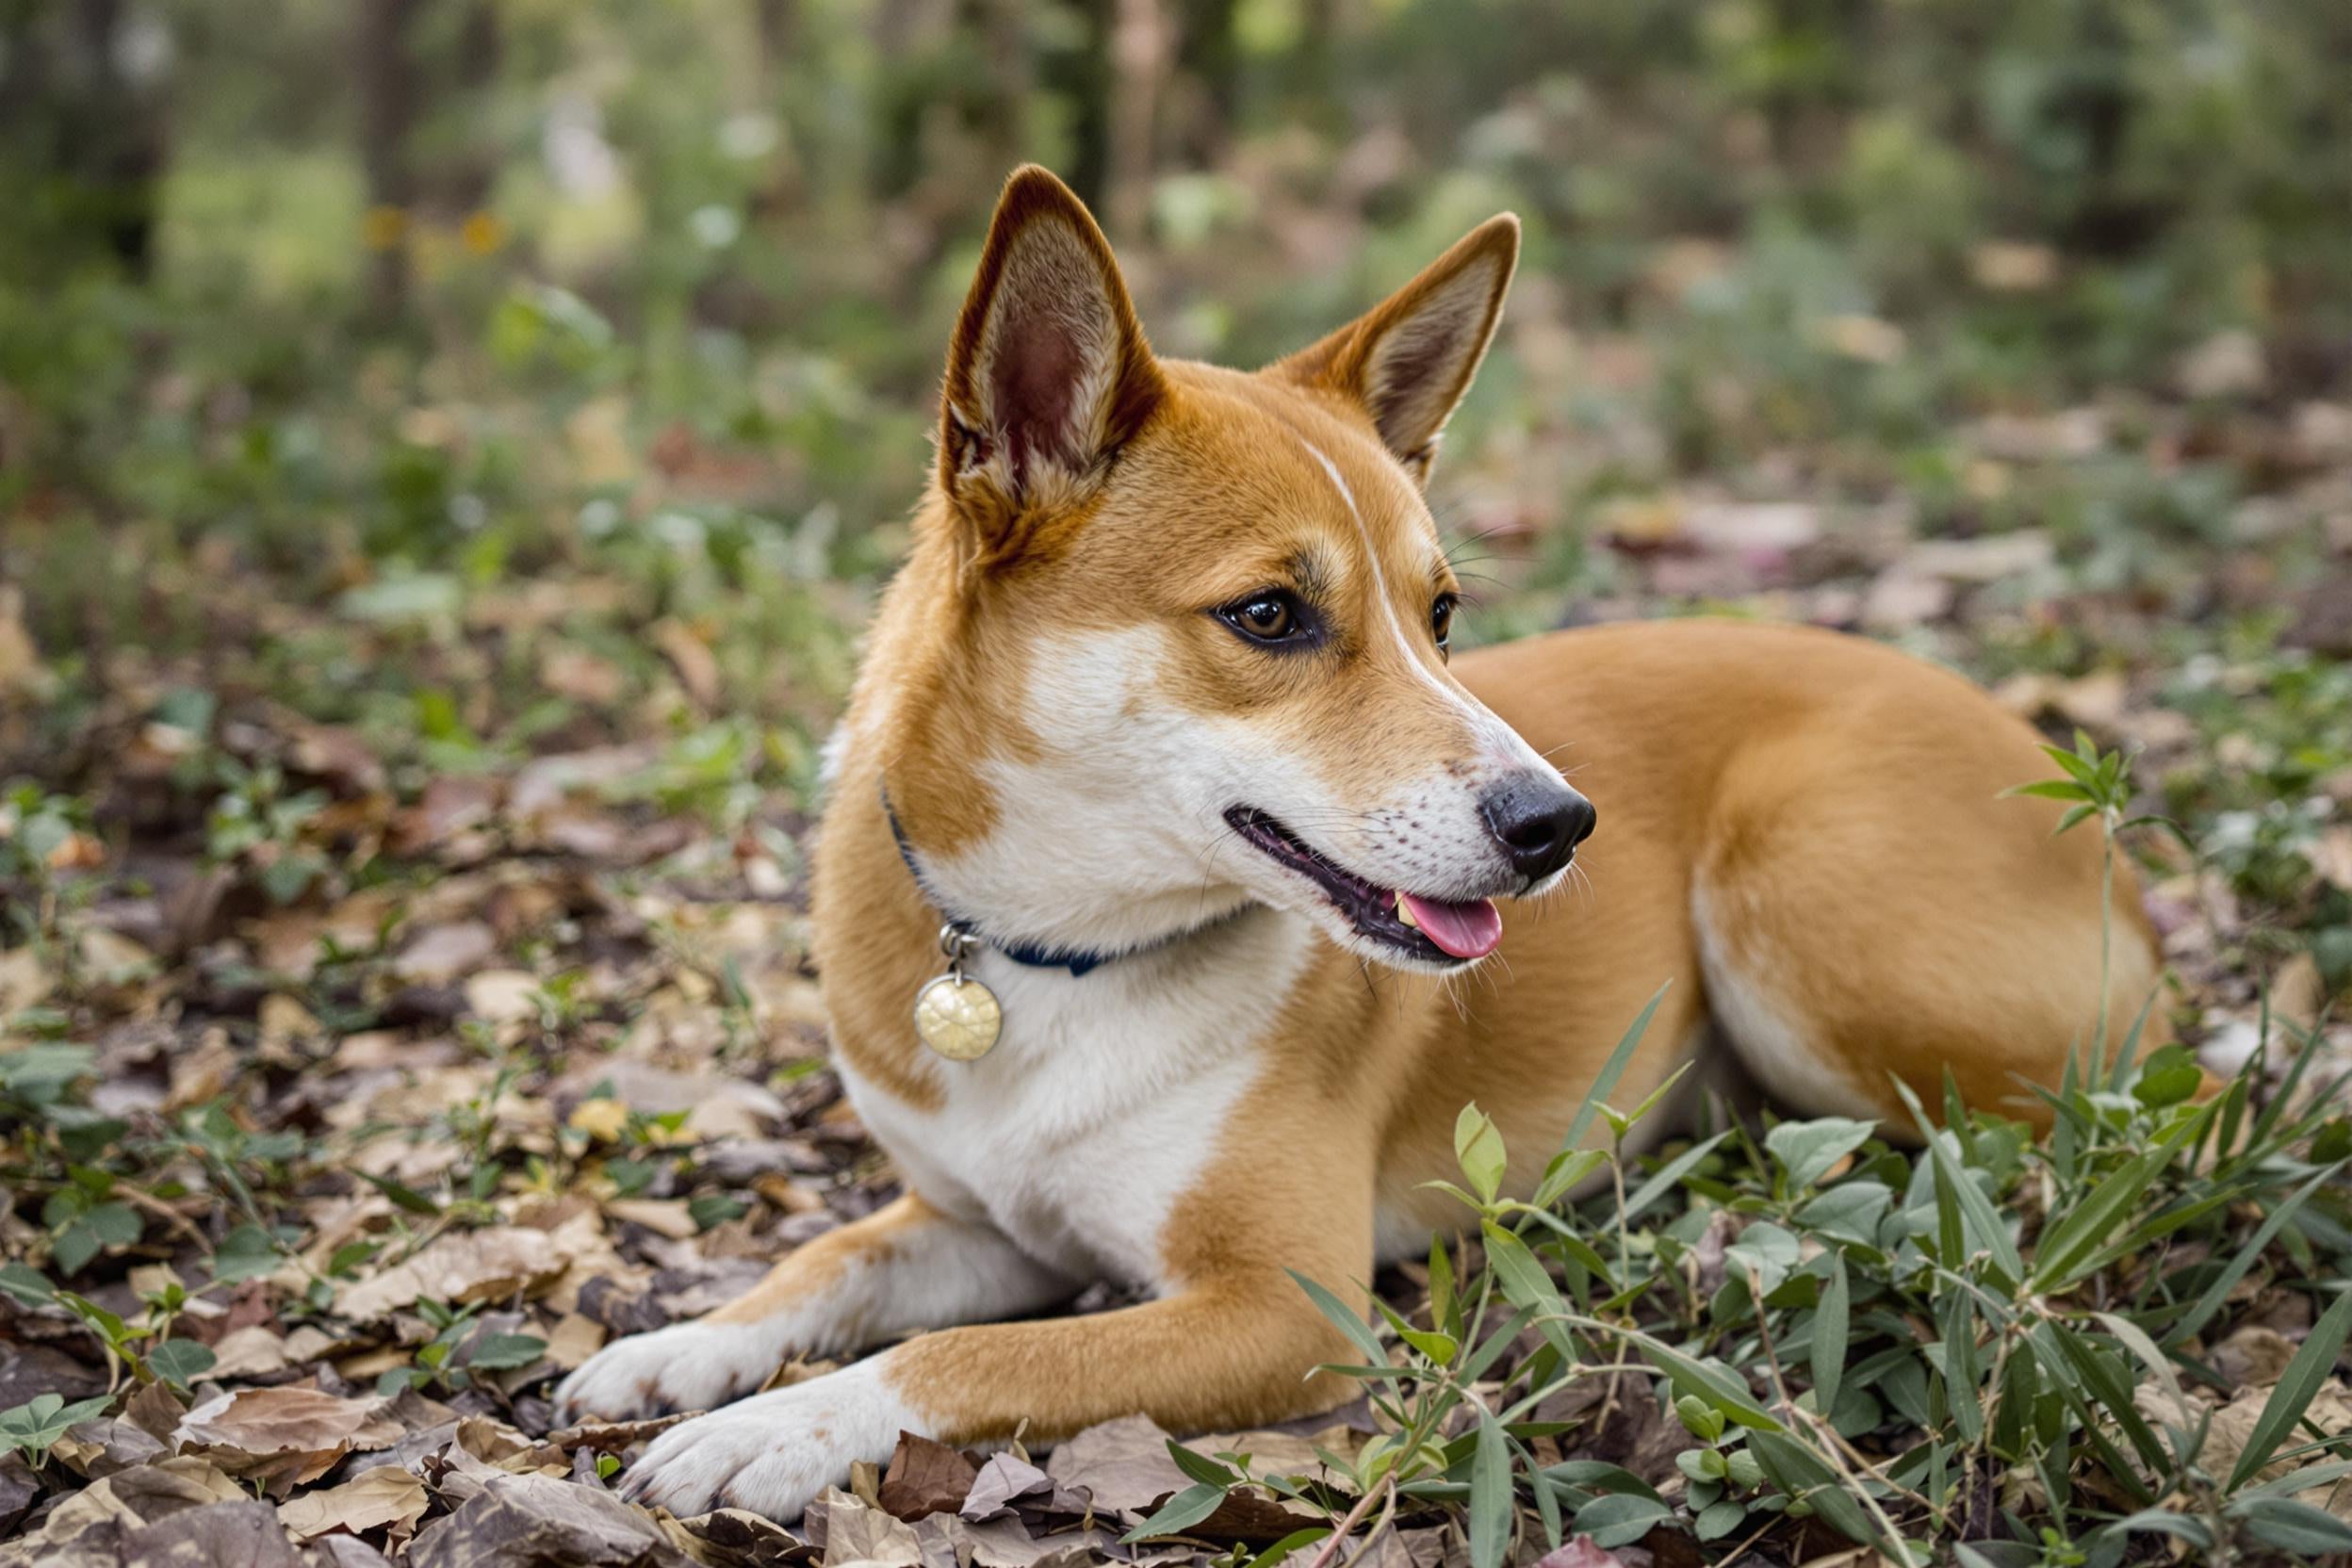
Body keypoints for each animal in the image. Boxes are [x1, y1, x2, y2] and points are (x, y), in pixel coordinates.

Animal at [546, 162, 2154, 1523]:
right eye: (1270, 615)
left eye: (1440, 615)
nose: (1560, 824)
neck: (1051, 957)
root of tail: (2047, 758)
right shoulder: (975, 1224)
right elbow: (828, 1259)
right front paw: (686, 1345)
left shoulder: (1286, 1309)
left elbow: (975, 1361)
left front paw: (774, 1428)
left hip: (1811, 946)